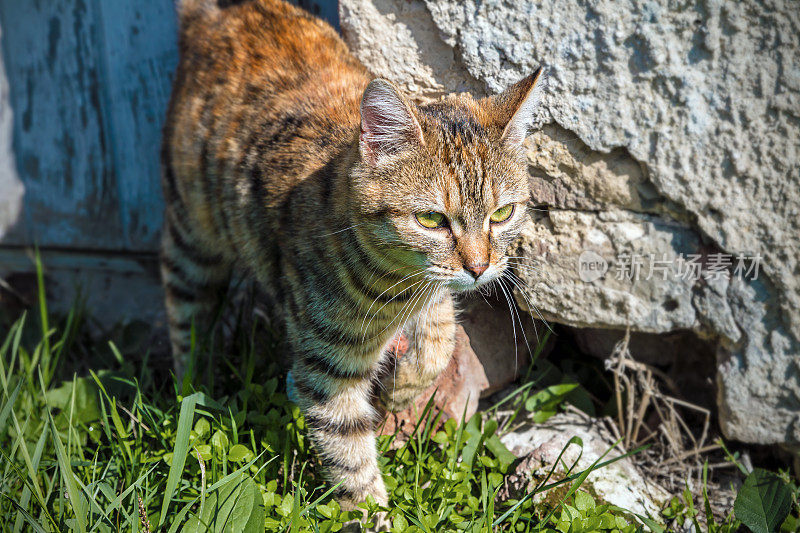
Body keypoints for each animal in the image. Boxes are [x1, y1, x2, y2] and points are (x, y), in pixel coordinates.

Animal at [164, 0, 544, 512]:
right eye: (432, 220)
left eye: (502, 213)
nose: (479, 268)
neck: (397, 288)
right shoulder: (326, 370)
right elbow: (349, 455)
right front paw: (371, 511)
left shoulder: (434, 296)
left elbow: (440, 341)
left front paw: (402, 390)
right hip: (191, 237)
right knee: (183, 316)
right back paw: (195, 389)